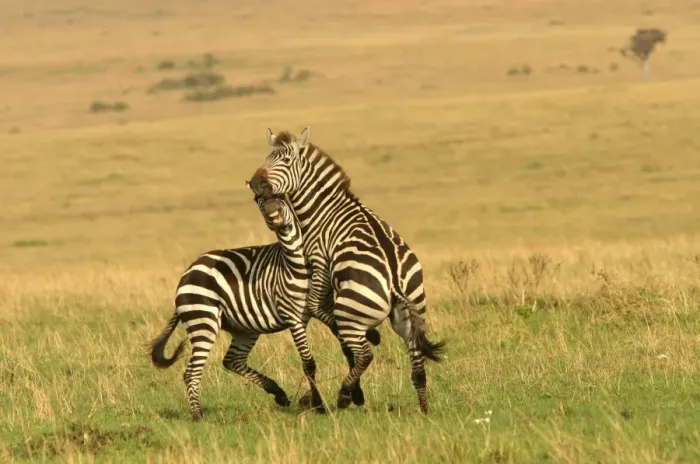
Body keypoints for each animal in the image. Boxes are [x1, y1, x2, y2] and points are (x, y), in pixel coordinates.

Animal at [149, 192, 327, 420]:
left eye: (280, 198)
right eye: (261, 204)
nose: (273, 214)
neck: (295, 263)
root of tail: (188, 272)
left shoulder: (324, 308)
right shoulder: (294, 318)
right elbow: (309, 363)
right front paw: (319, 405)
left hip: (245, 328)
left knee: (232, 360)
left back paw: (278, 393)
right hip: (204, 321)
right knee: (192, 372)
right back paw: (198, 414)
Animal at [248, 127, 445, 414]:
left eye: (284, 161)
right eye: (266, 158)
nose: (254, 183)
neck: (321, 210)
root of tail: (395, 280)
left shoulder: (319, 261)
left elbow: (315, 307)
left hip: (352, 309)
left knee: (365, 353)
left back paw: (344, 395)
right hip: (410, 315)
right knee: (417, 365)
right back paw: (423, 409)